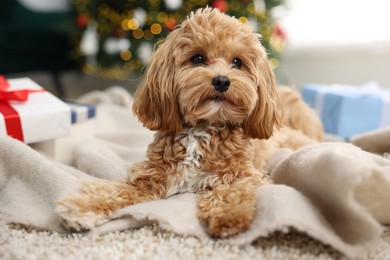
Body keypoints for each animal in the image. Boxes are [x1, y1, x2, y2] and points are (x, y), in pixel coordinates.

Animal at [55, 7, 322, 239]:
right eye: (198, 58)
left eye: (237, 62)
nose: (222, 81)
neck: (203, 127)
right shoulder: (152, 177)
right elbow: (115, 191)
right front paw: (82, 207)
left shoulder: (244, 175)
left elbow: (233, 192)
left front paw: (228, 216)